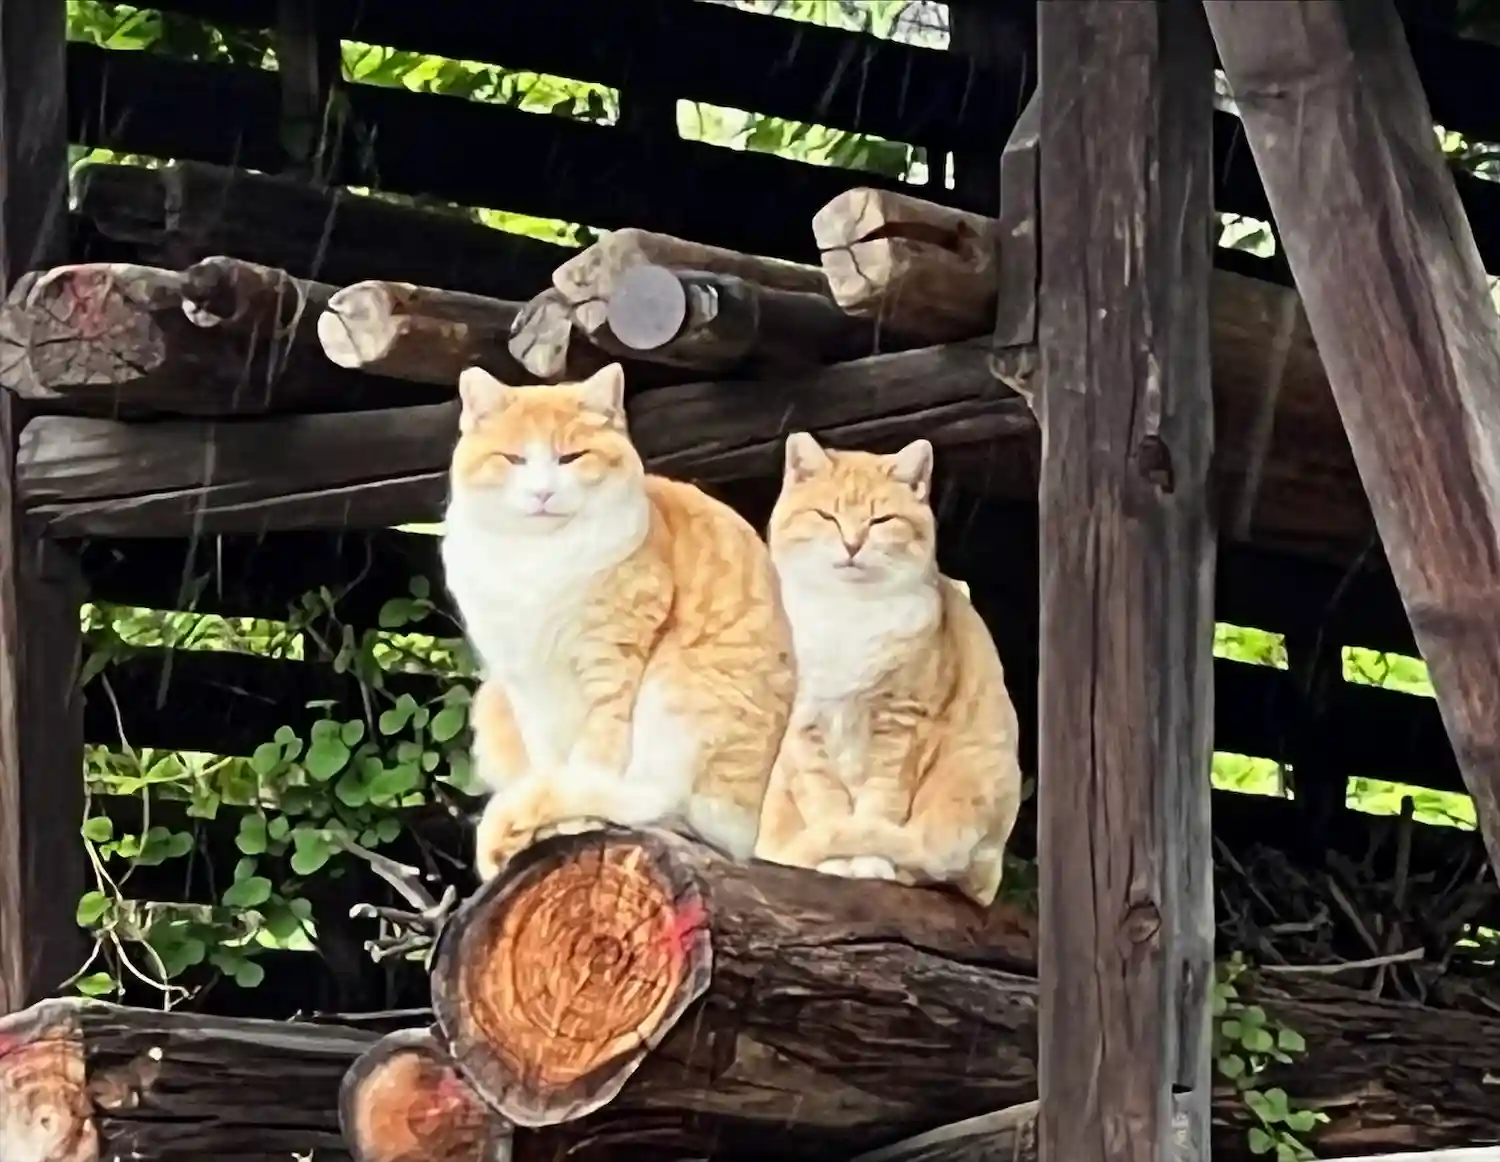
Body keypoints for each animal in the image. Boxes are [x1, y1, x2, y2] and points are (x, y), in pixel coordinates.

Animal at [441, 362, 796, 880]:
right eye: (513, 459)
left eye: (571, 457)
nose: (542, 492)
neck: (538, 562)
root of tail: (747, 835)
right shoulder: (526, 684)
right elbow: (550, 760)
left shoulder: (610, 666)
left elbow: (594, 757)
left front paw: (573, 820)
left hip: (676, 690)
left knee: (652, 802)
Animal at [753, 432, 1023, 907]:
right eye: (827, 515)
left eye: (880, 520)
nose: (852, 545)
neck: (846, 616)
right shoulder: (804, 733)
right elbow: (828, 807)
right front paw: (834, 861)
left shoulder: (899, 726)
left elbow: (877, 808)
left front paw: (868, 864)